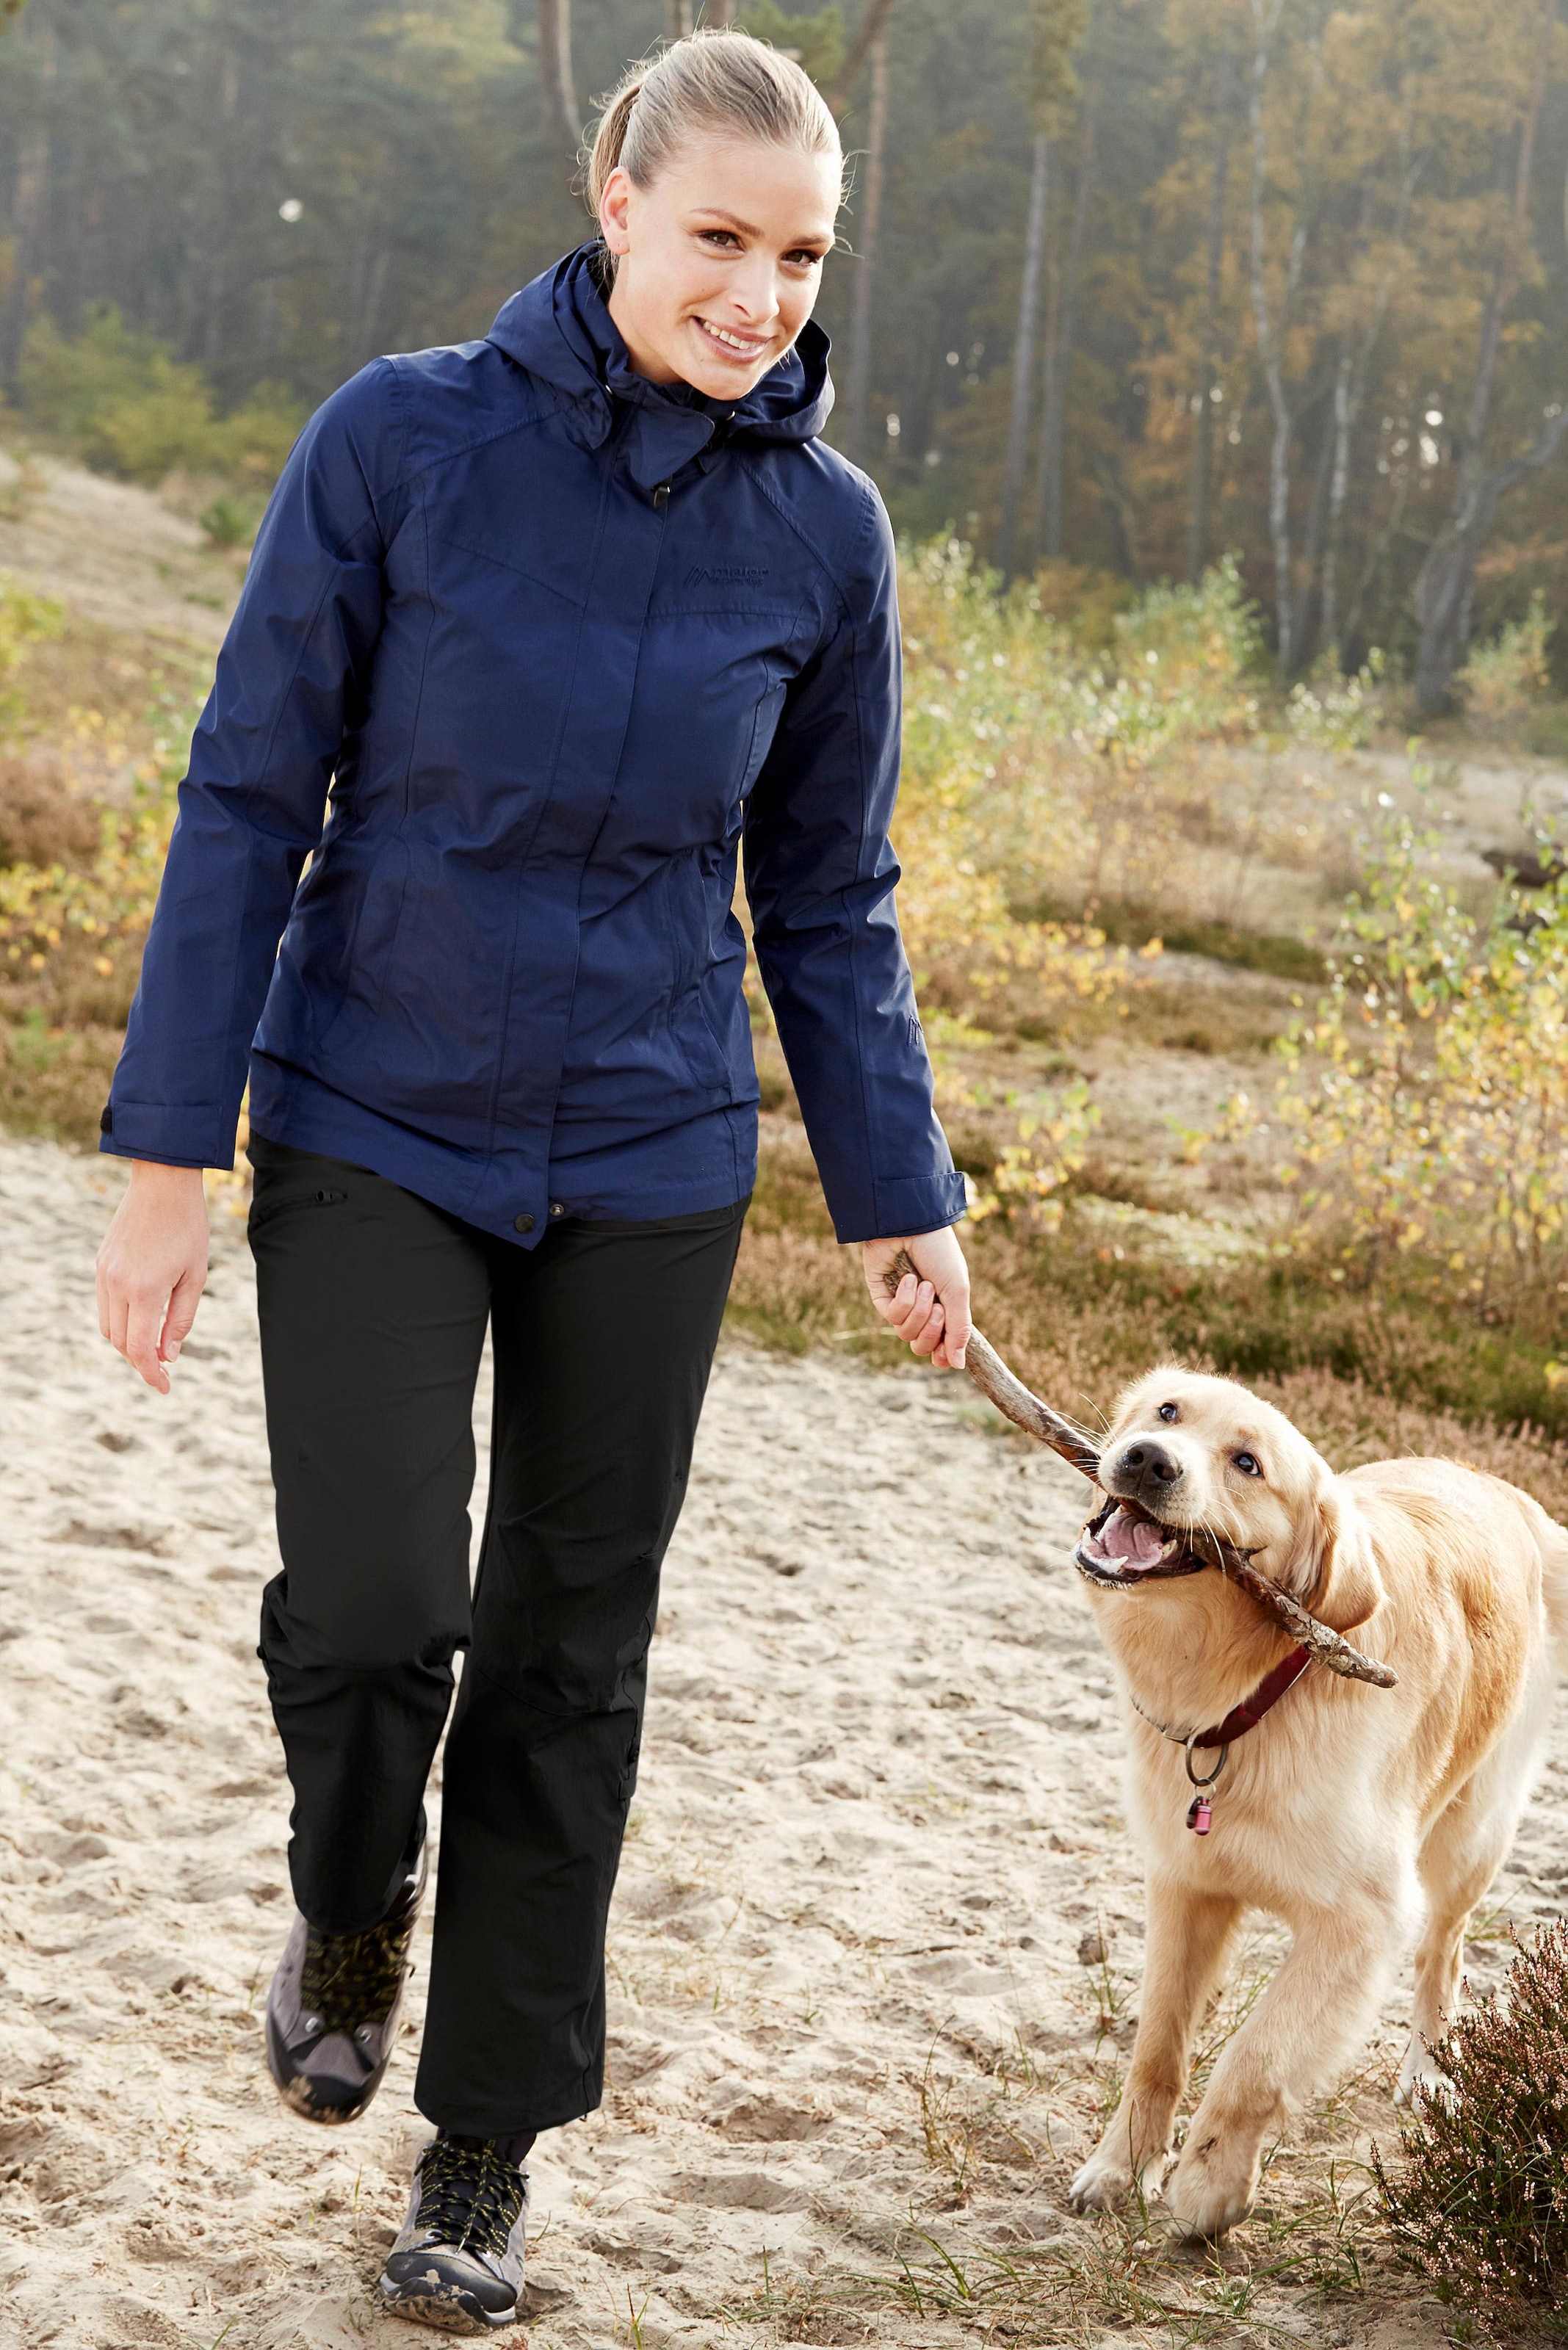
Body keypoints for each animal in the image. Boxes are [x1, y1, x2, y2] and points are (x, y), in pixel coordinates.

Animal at [1062, 1372, 1561, 2246]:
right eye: (1166, 1413)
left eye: (1247, 1463)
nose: (1148, 1460)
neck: (1248, 1690)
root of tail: (1507, 1491)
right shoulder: (1184, 1882)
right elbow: (1157, 2047)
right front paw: (1122, 2168)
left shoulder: (1360, 1921)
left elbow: (1254, 2059)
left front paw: (1208, 2187)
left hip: (1469, 1835)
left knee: (1444, 1951)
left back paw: (1427, 2074)